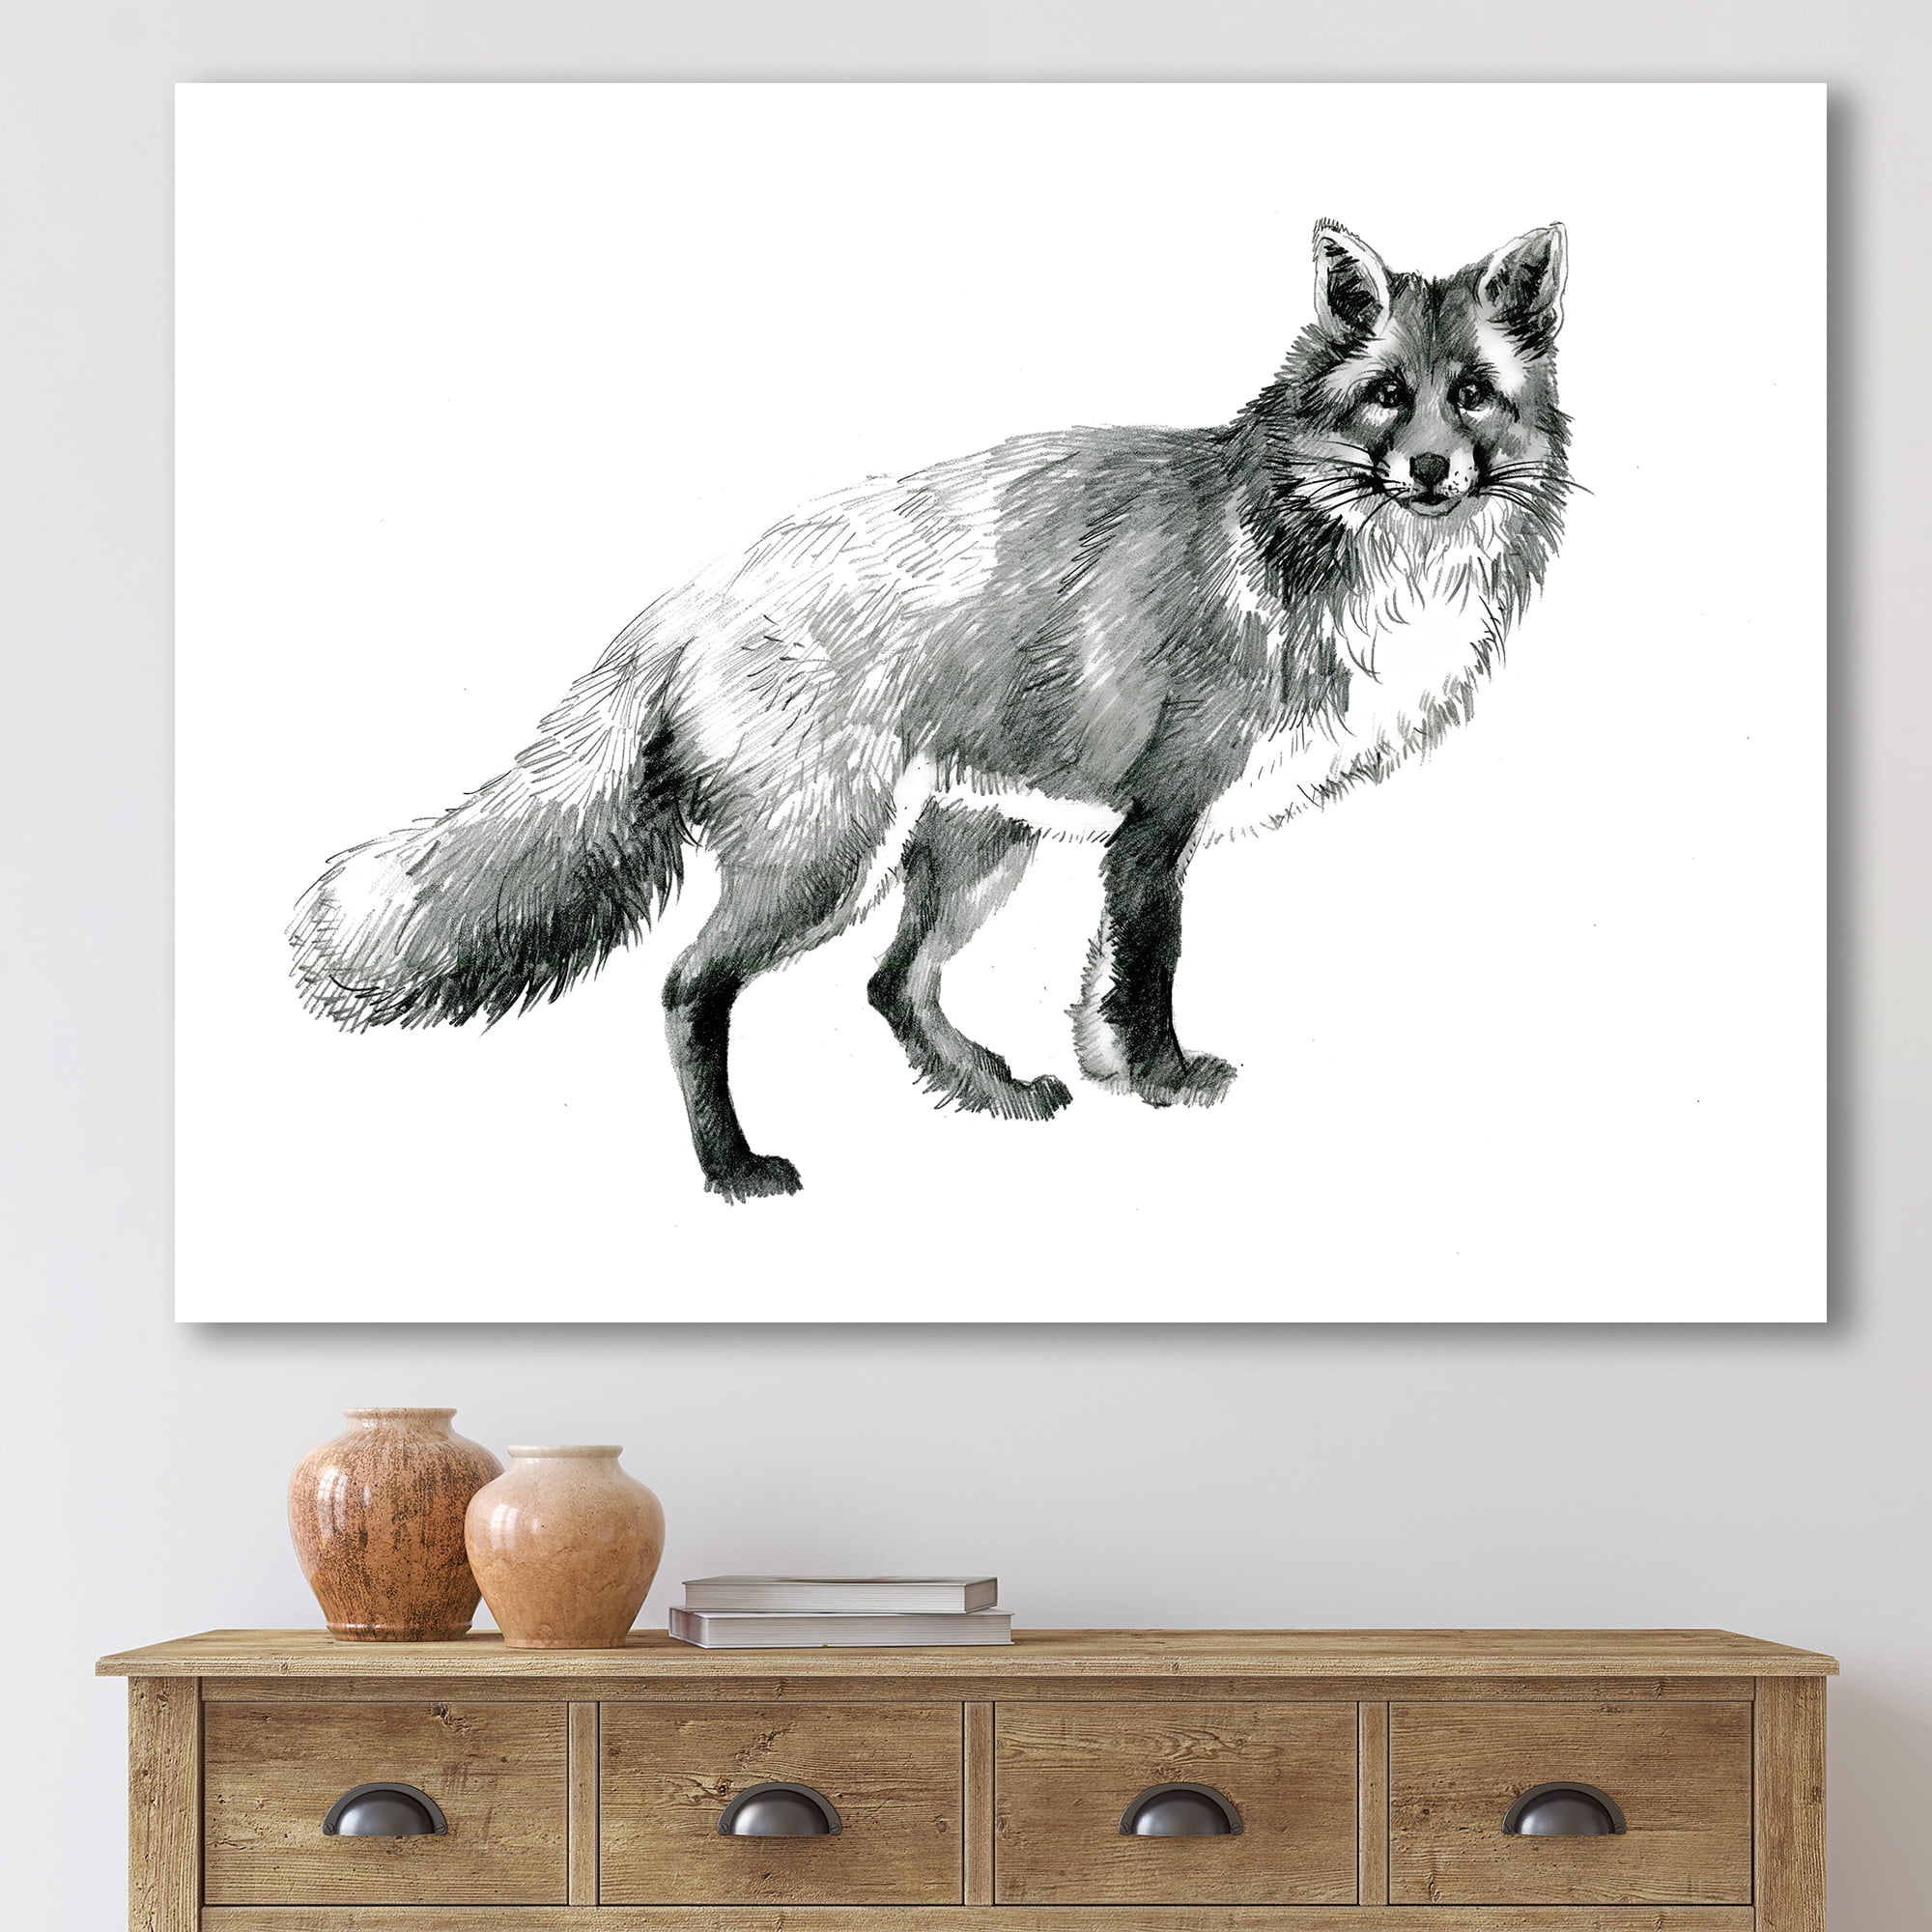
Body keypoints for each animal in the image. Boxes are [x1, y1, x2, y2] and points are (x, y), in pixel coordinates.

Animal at [291, 220, 1571, 1201]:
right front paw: (1162, 1083)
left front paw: (1110, 1076)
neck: (1326, 551)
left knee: (891, 984)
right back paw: (733, 1169)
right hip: (825, 862)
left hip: (971, 846)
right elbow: (1148, 975)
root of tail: (684, 602)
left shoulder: (1120, 839)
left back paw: (986, 1091)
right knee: (689, 986)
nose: (1430, 472)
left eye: (1471, 396)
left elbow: (1098, 989)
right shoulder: (1159, 820)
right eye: (1384, 398)